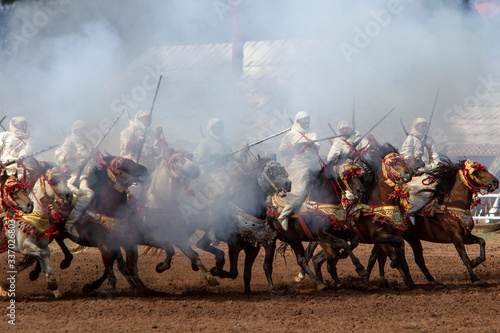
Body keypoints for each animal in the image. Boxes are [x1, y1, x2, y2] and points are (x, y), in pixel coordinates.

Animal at [366, 158, 498, 282]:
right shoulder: (456, 236)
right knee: (376, 257)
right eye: (476, 171)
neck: (450, 205)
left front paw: (475, 261)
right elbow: (464, 257)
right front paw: (474, 277)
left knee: (413, 258)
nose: (495, 182)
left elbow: (482, 242)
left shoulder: (465, 236)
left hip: (411, 238)